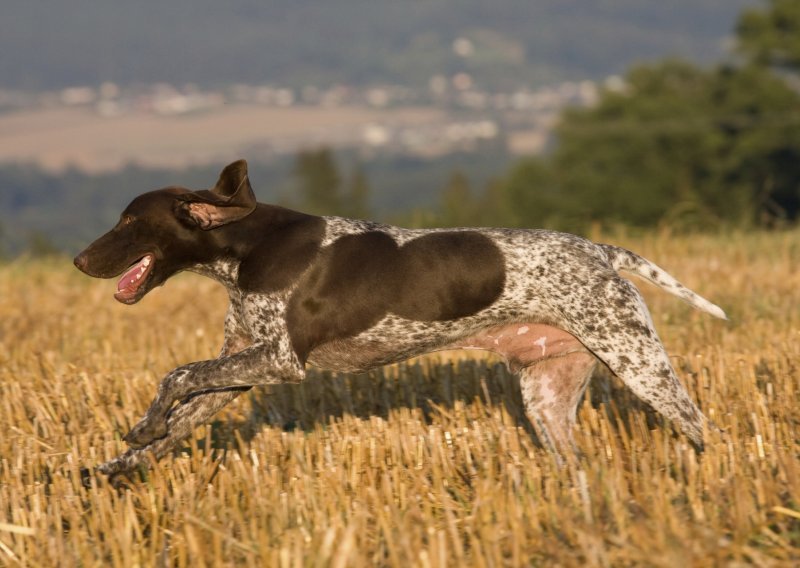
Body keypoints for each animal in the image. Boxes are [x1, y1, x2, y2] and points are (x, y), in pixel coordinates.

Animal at [72, 159, 728, 480]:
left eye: (130, 221)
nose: (78, 260)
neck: (246, 249)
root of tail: (601, 251)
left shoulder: (279, 361)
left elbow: (177, 374)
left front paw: (142, 427)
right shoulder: (242, 368)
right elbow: (176, 419)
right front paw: (121, 459)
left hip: (639, 364)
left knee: (703, 429)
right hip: (547, 396)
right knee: (576, 462)